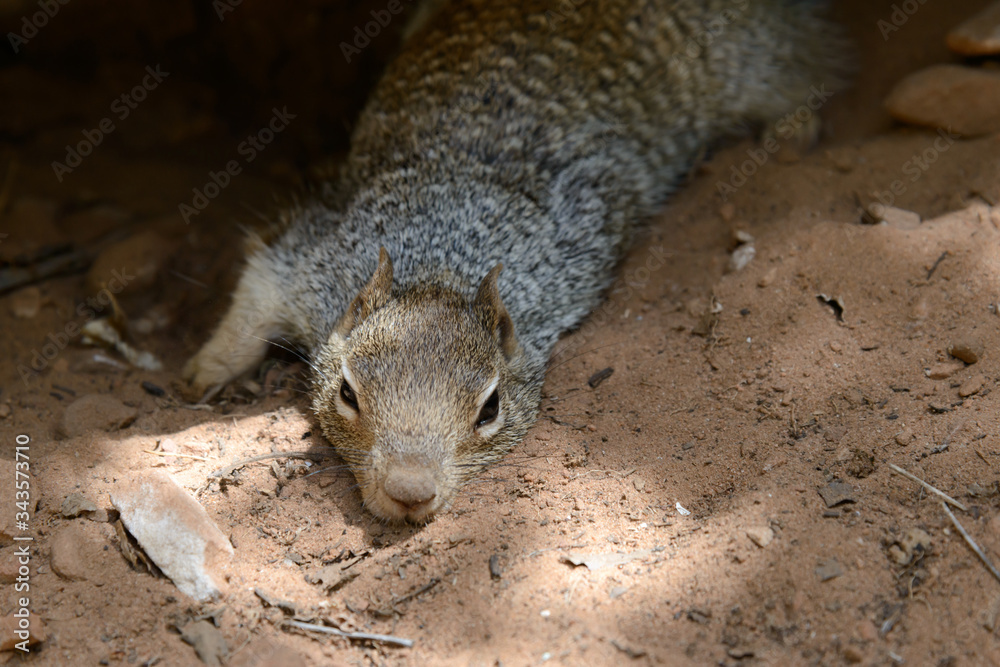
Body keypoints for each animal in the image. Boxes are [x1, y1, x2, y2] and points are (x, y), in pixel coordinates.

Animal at [184, 0, 844, 522]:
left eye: (491, 409)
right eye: (348, 393)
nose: (410, 493)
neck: (442, 265)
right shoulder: (314, 260)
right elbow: (256, 291)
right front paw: (204, 367)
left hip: (757, 56)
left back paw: (795, 129)